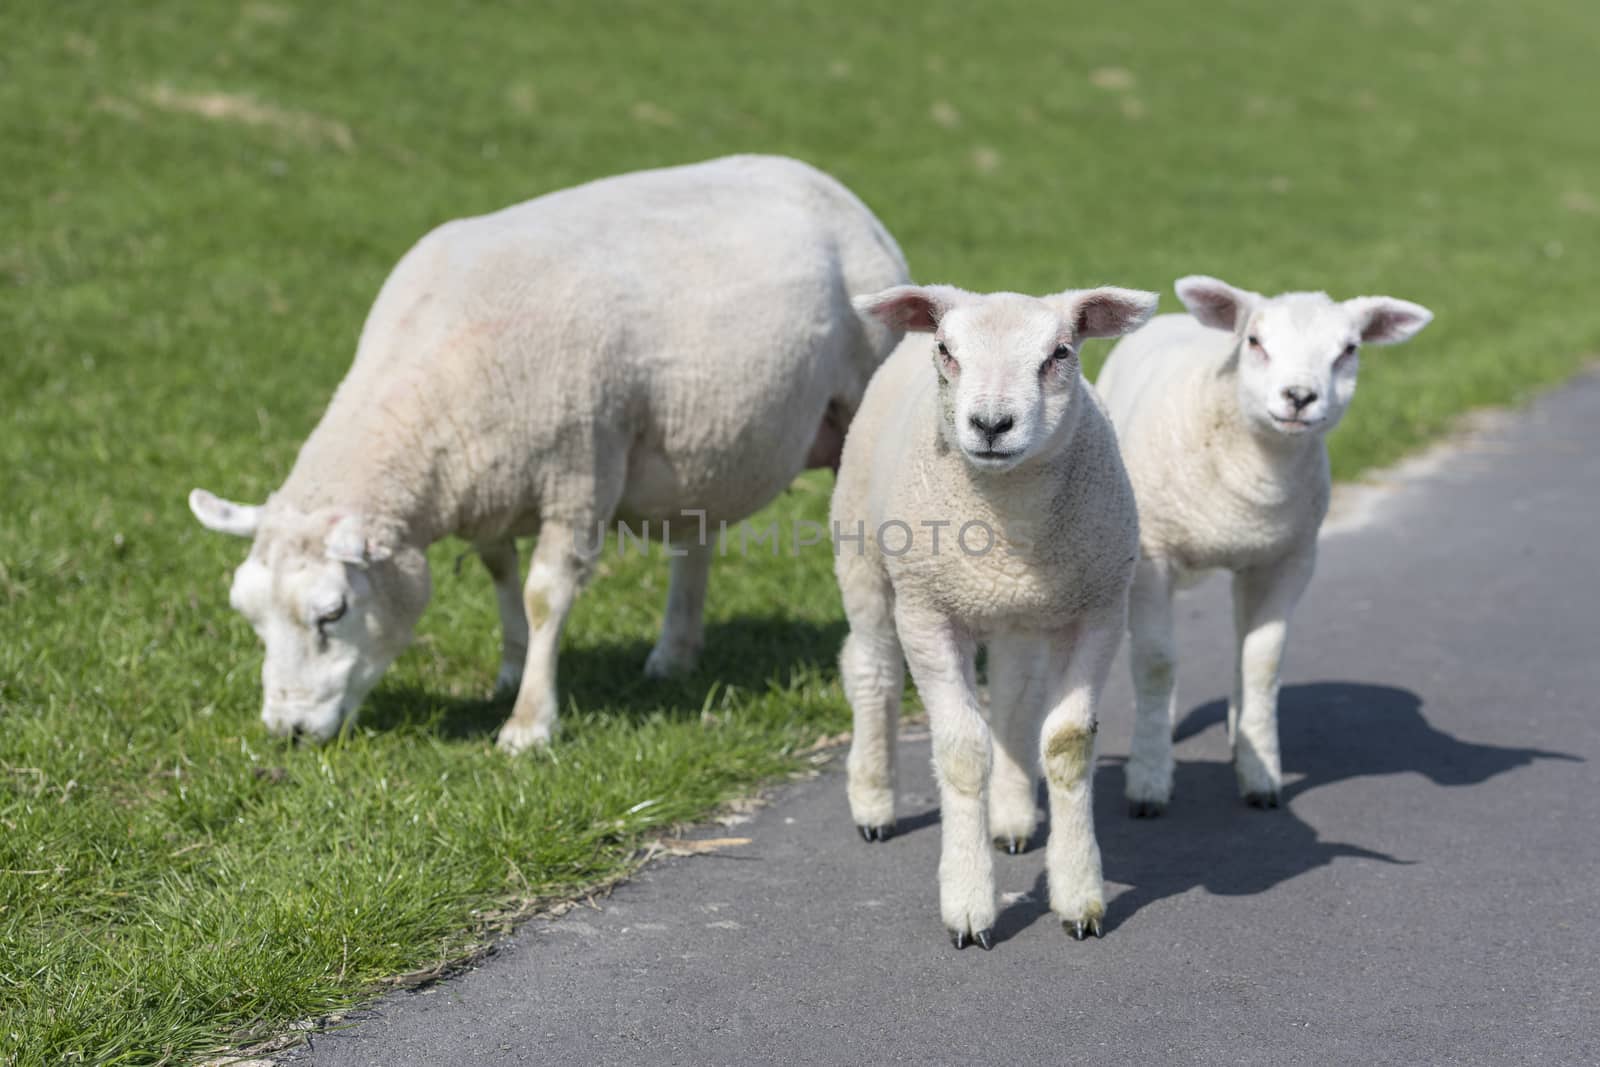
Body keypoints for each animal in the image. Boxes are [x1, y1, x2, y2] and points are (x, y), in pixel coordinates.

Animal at [185, 154, 908, 755]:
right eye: (248, 615)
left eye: (332, 613)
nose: (288, 732)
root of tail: (825, 181)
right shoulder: (490, 482)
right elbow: (500, 574)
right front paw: (509, 671)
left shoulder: (579, 473)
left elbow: (544, 594)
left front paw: (529, 724)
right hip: (703, 444)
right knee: (694, 540)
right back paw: (673, 654)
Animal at [832, 279, 1158, 947]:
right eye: (946, 350)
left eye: (1060, 353)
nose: (990, 424)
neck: (1007, 518)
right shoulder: (927, 613)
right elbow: (961, 749)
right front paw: (967, 905)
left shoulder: (1100, 609)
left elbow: (1065, 742)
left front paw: (1079, 897)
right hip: (864, 561)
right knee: (873, 672)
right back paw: (874, 803)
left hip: (1021, 618)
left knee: (1013, 698)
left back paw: (1011, 818)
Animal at [1100, 279, 1440, 812]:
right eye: (1256, 342)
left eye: (1349, 350)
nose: (1299, 396)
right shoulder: (1155, 556)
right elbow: (1156, 662)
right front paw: (1149, 780)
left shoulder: (1288, 560)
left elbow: (1262, 661)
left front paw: (1261, 774)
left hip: (1253, 560)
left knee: (1241, 636)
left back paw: (1239, 734)